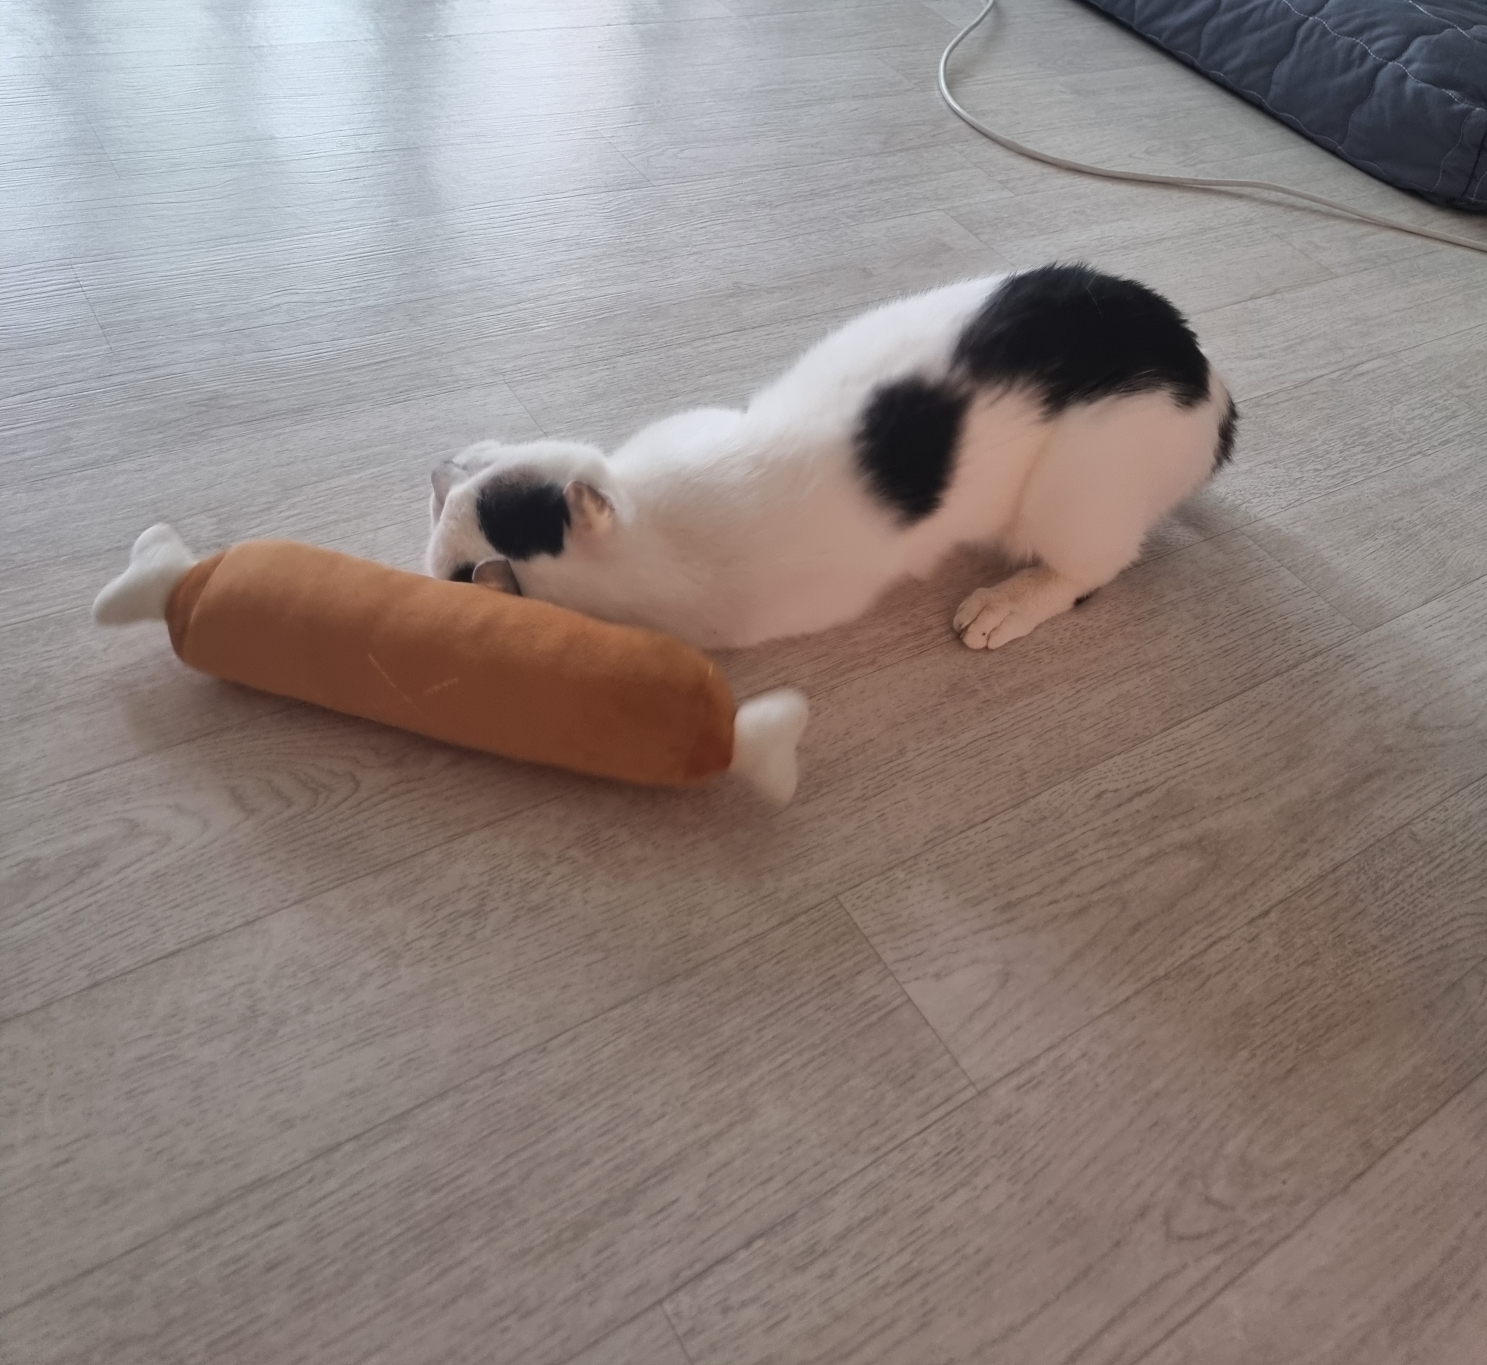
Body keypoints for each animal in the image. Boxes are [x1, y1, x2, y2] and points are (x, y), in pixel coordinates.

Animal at [425, 263, 1235, 652]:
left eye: (502, 516)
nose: (435, 467)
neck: (649, 533)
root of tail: (1208, 392)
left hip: (1078, 490)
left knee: (1090, 568)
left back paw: (1001, 608)